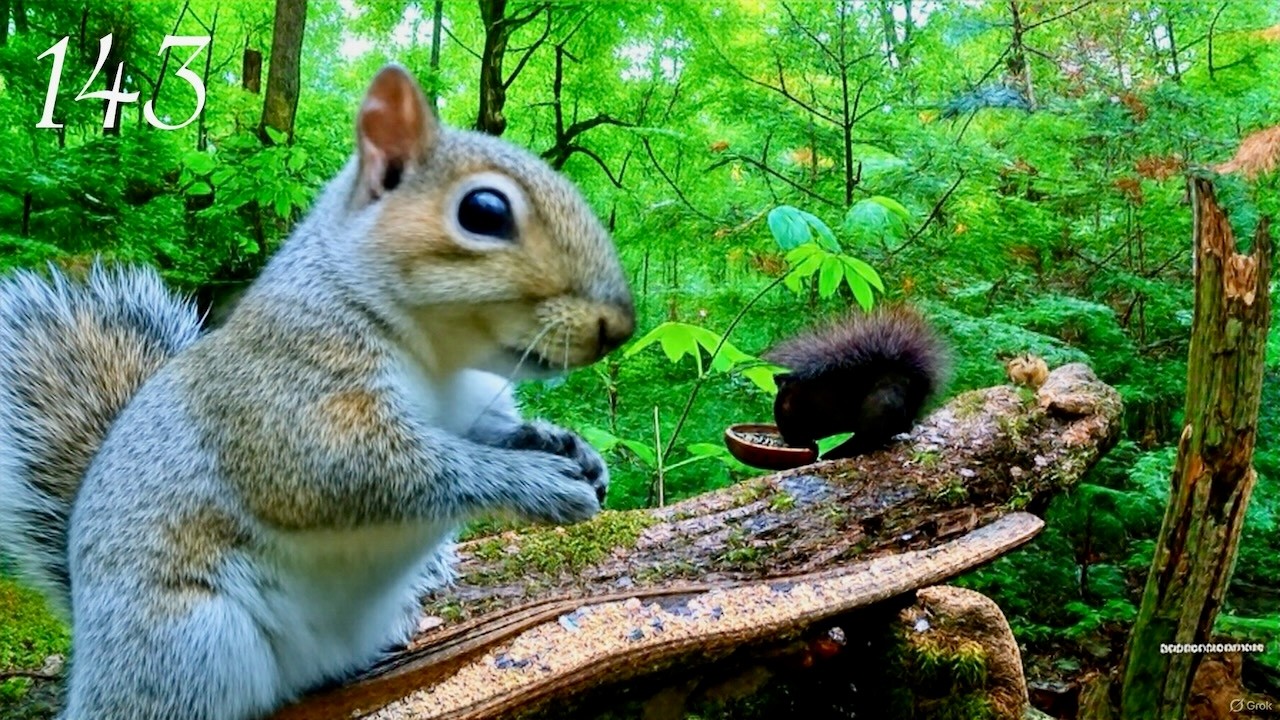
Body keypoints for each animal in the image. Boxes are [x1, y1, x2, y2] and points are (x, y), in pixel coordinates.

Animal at [0, 65, 634, 720]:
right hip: (188, 640)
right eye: (484, 211)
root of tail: (89, 661)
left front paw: (569, 449)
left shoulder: (466, 409)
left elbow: (488, 434)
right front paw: (538, 482)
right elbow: (370, 470)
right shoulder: (288, 399)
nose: (619, 326)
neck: (442, 357)